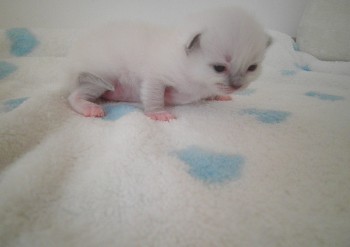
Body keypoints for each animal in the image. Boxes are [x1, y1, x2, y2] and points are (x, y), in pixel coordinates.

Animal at [68, 6, 270, 120]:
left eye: (252, 68)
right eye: (219, 68)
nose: (237, 86)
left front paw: (217, 96)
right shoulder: (156, 76)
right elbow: (154, 95)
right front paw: (157, 113)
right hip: (101, 77)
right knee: (73, 96)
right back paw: (89, 107)